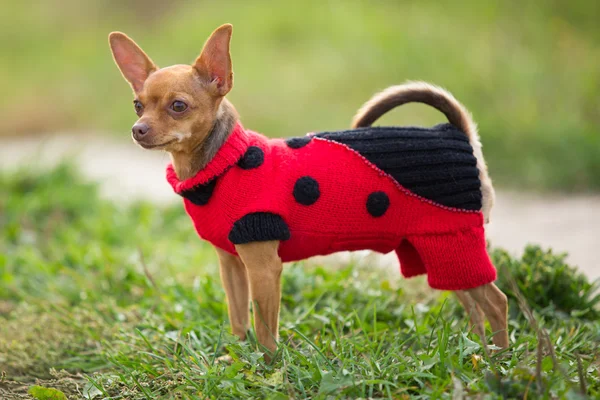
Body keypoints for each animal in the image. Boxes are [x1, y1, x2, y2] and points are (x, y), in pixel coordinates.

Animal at [110, 22, 508, 360]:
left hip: (451, 242)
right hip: (437, 253)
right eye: (138, 105)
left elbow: (264, 327)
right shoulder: (232, 266)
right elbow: (238, 318)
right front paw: (235, 355)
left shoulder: (263, 268)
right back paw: (476, 352)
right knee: (474, 304)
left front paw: (267, 365)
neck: (223, 162)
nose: (137, 129)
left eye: (178, 106)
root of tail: (456, 132)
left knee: (496, 302)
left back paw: (500, 360)